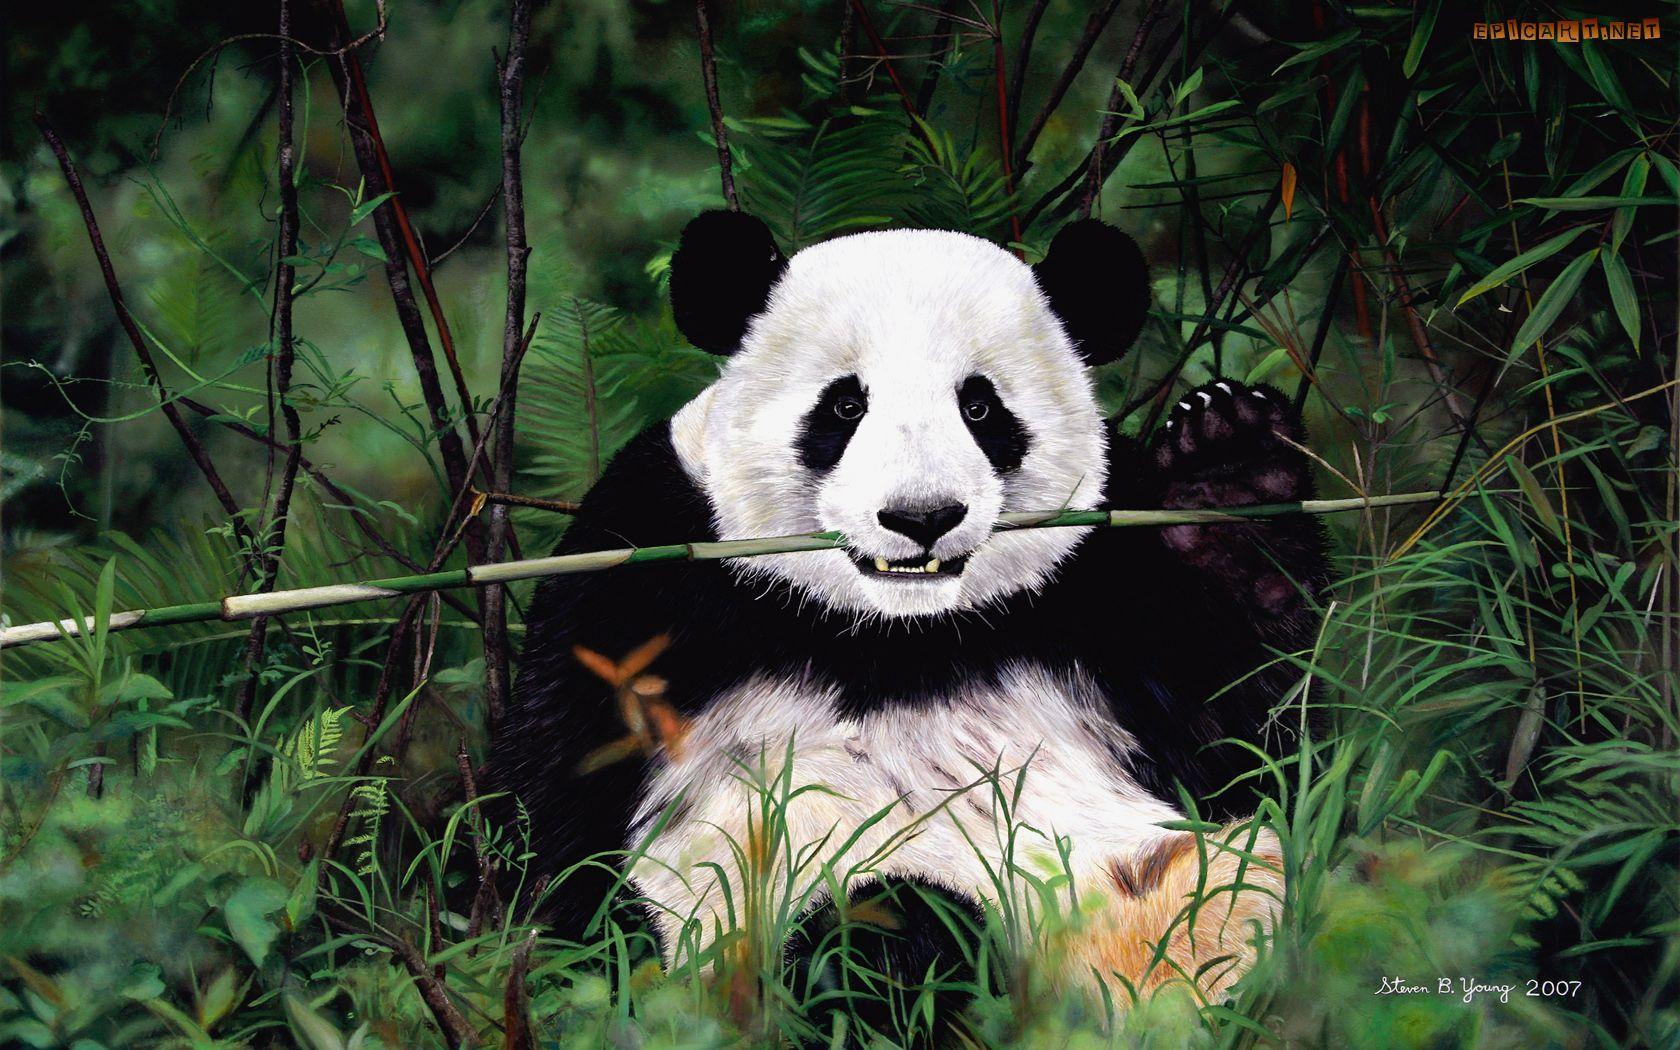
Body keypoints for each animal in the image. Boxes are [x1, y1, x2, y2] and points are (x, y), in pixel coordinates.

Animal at [491, 211, 1327, 1019]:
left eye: (981, 406)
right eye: (845, 404)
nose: (921, 517)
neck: (897, 631)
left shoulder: (1104, 585)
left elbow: (1246, 734)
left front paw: (1231, 469)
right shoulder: (647, 563)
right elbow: (564, 796)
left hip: (1188, 889)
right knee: (881, 926)